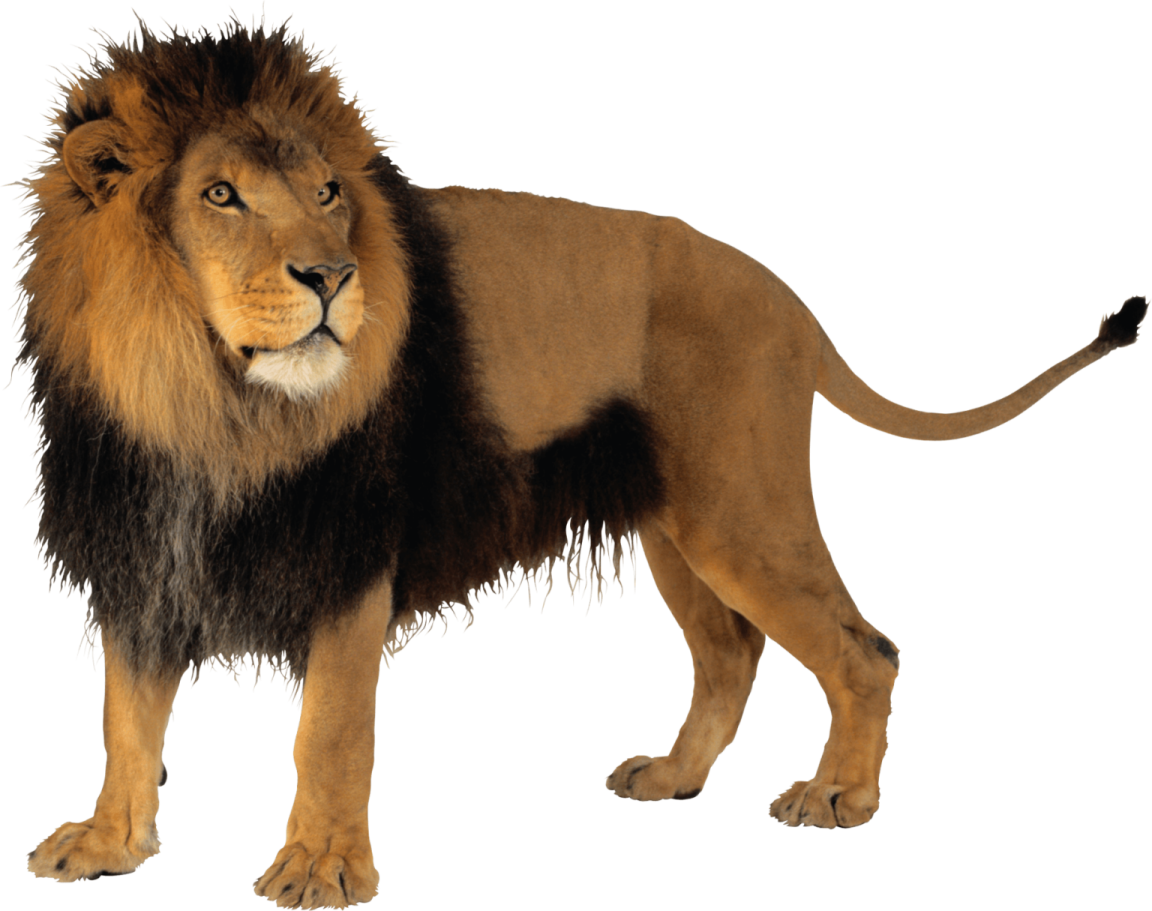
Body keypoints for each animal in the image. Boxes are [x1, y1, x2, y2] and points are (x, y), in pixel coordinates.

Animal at [13, 10, 1145, 909]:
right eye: (220, 195)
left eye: (330, 191)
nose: (331, 277)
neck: (205, 401)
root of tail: (792, 302)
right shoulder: (145, 550)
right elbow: (127, 719)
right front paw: (110, 841)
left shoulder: (351, 553)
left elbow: (329, 729)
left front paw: (322, 870)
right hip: (682, 526)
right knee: (731, 653)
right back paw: (675, 776)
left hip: (743, 510)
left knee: (866, 649)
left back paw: (838, 795)